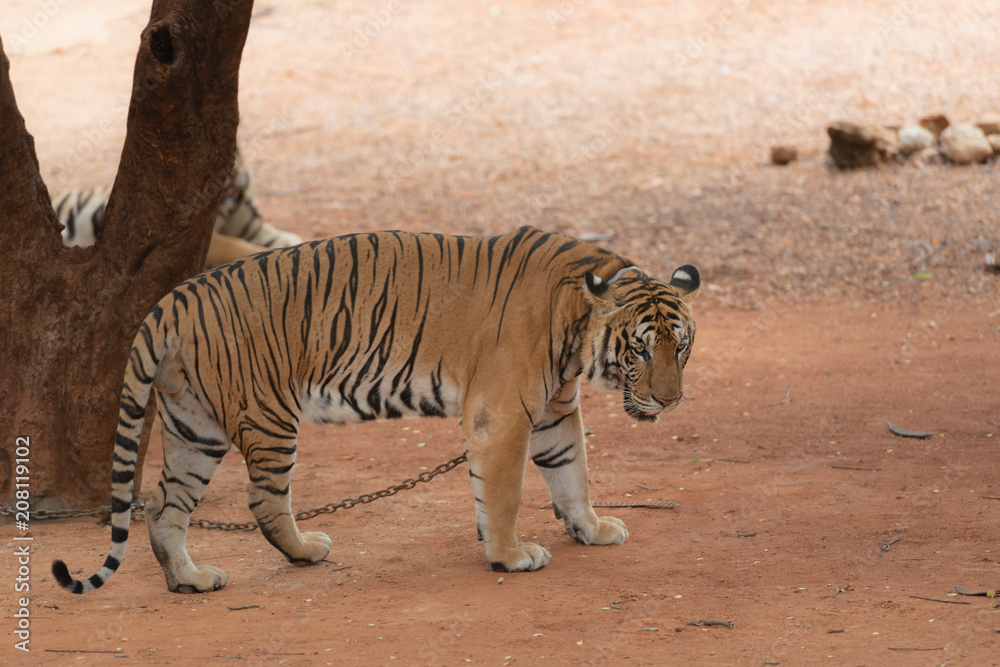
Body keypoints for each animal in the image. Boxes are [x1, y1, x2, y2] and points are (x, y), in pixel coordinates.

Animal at [51, 226, 699, 594]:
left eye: (681, 345)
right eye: (641, 348)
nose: (670, 400)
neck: (576, 330)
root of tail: (171, 300)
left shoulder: (554, 413)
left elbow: (573, 474)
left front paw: (590, 529)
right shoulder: (502, 415)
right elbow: (507, 492)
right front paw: (511, 556)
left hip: (195, 427)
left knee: (164, 506)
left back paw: (189, 580)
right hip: (268, 416)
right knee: (262, 501)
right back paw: (306, 552)